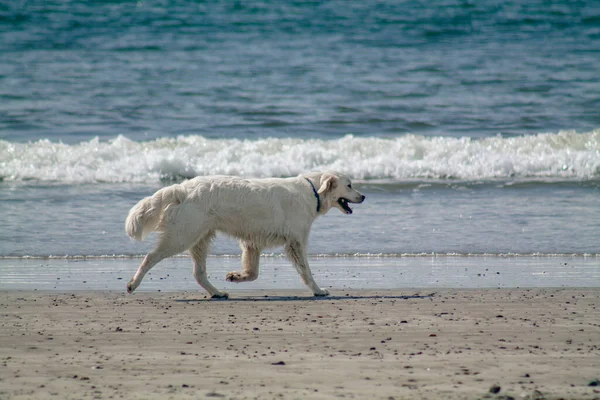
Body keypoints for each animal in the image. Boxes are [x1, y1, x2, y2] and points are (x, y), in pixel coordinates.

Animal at [124, 170, 364, 298]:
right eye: (350, 185)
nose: (363, 196)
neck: (311, 191)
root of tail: (181, 188)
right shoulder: (296, 241)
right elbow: (306, 271)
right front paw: (318, 290)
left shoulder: (252, 242)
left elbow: (253, 272)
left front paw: (236, 276)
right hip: (182, 236)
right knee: (150, 257)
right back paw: (133, 284)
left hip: (200, 237)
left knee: (198, 273)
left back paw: (217, 292)